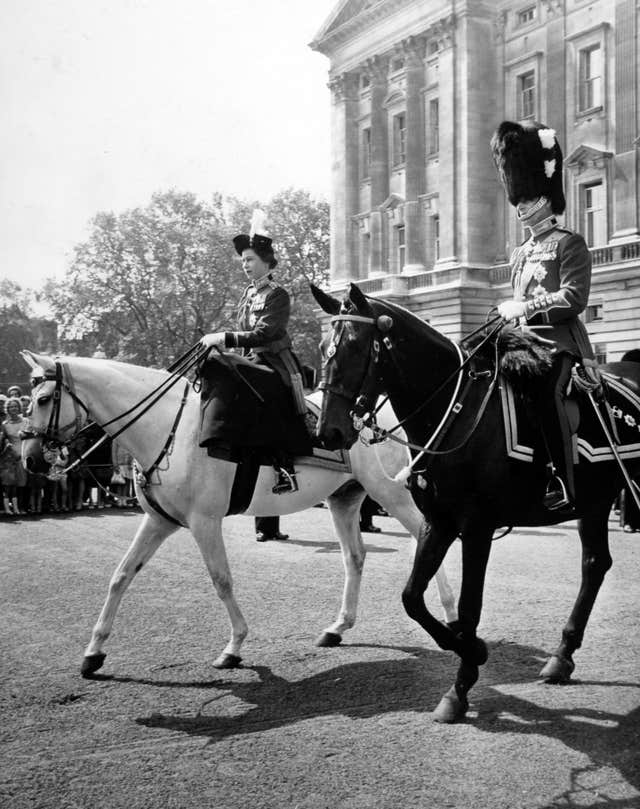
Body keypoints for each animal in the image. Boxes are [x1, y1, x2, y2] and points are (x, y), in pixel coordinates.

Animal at [22, 352, 458, 676]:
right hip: (345, 500)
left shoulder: (204, 522)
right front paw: (93, 652)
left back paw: (451, 615)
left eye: (43, 399)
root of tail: (382, 417)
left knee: (424, 540)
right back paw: (338, 627)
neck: (167, 429)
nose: (29, 459)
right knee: (355, 557)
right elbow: (121, 576)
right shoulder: (159, 521)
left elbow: (222, 581)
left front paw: (233, 646)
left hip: (390, 492)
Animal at [312, 282, 640, 720]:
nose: (327, 432)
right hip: (594, 500)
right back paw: (561, 657)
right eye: (322, 346)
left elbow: (469, 606)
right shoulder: (440, 520)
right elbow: (412, 597)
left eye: (354, 346)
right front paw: (468, 653)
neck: (455, 411)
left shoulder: (477, 526)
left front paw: (463, 680)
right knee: (594, 564)